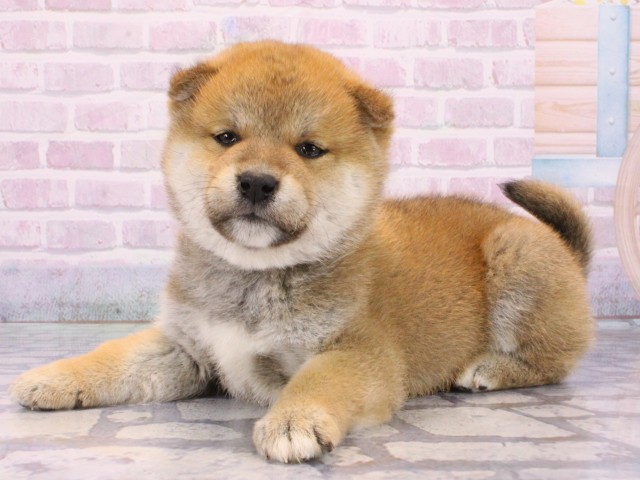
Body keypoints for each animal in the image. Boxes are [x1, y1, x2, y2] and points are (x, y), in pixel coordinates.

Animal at [10, 41, 594, 463]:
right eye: (227, 137)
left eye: (308, 149)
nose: (257, 182)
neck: (254, 276)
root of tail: (568, 254)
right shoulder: (186, 348)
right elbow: (113, 357)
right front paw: (57, 377)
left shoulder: (355, 351)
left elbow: (319, 381)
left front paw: (294, 421)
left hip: (516, 256)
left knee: (553, 360)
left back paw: (489, 369)